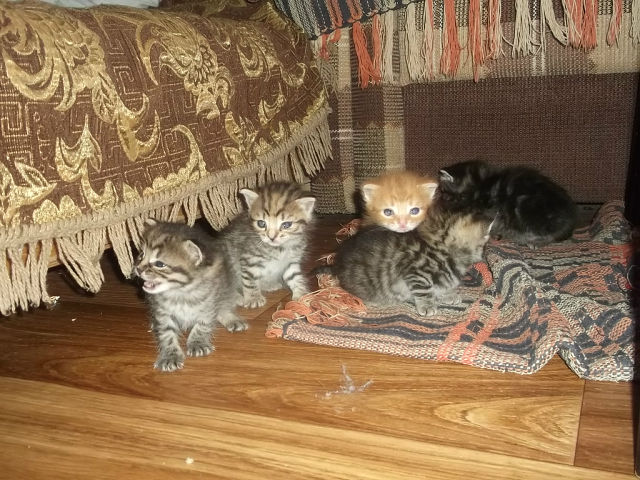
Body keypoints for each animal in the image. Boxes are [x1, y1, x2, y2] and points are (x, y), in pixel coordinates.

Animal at [134, 219, 247, 372]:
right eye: (141, 254)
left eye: (159, 264)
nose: (138, 269)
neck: (181, 292)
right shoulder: (162, 312)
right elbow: (166, 333)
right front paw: (170, 356)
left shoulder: (209, 304)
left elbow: (202, 325)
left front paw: (197, 342)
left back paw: (231, 319)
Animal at [329, 202, 492, 316]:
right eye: (484, 246)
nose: (485, 255)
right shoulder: (416, 273)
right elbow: (424, 290)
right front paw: (427, 305)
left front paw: (448, 295)